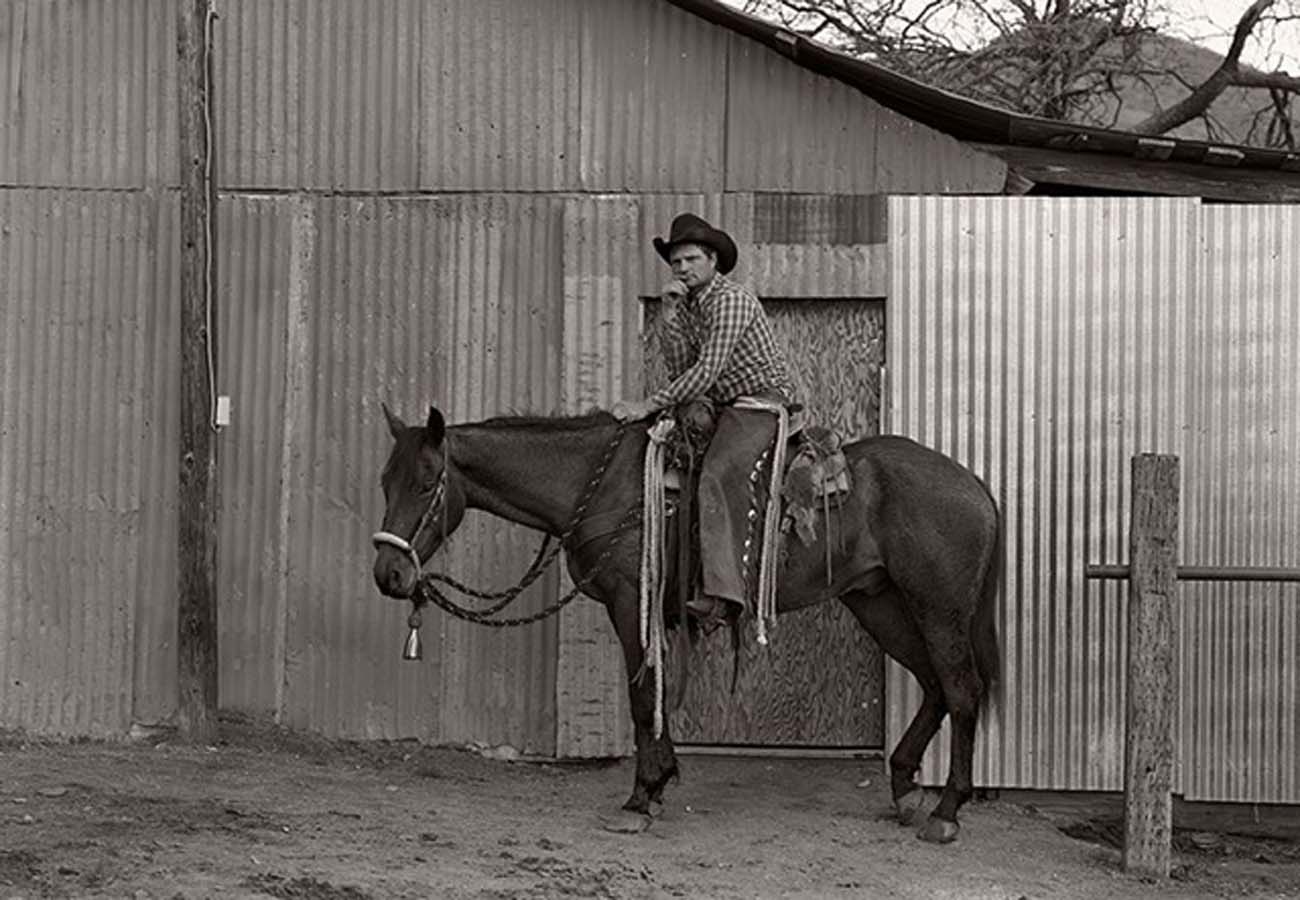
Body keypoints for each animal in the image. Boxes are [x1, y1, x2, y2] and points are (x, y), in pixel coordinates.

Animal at [371, 405, 998, 842]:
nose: (389, 573)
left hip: (937, 606)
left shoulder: (631, 602)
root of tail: (976, 487)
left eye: (426, 483)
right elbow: (657, 690)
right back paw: (906, 788)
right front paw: (660, 782)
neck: (605, 485)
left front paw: (640, 798)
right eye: (384, 482)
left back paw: (946, 813)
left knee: (962, 689)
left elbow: (642, 692)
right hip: (880, 603)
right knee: (935, 685)